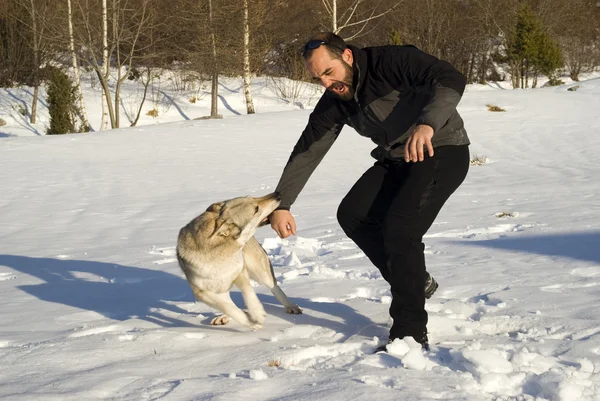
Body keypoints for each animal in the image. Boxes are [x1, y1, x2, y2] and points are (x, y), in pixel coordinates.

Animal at [176, 191, 302, 328]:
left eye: (252, 197)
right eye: (256, 209)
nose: (277, 194)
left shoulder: (240, 271)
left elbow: (248, 292)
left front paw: (257, 313)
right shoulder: (200, 292)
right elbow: (228, 307)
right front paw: (251, 322)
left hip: (260, 271)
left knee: (275, 287)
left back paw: (292, 307)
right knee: (229, 303)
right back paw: (224, 317)